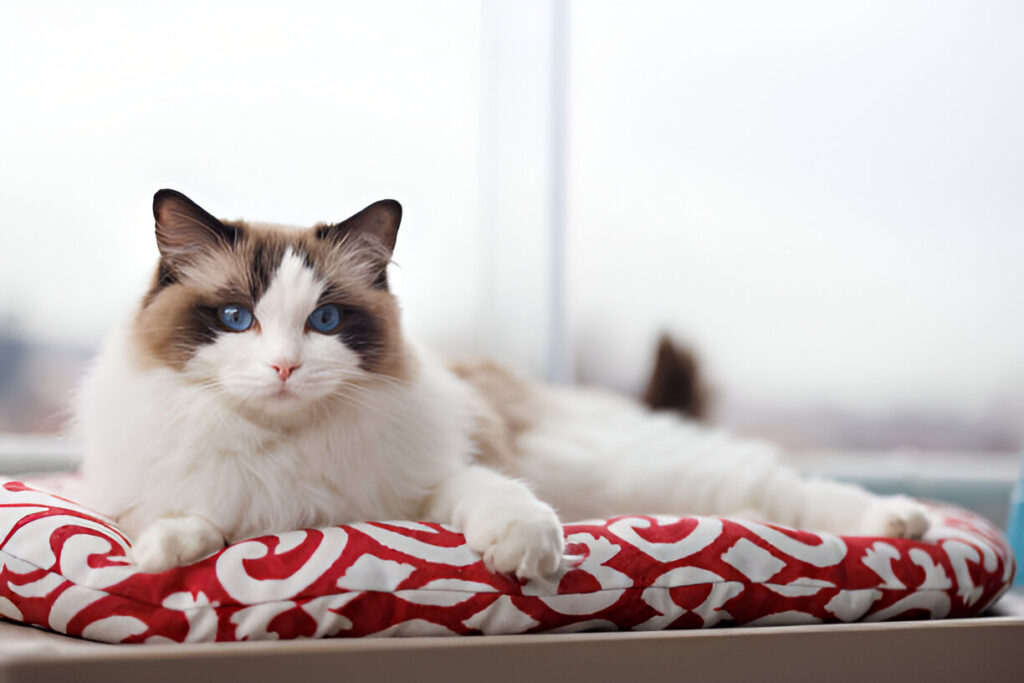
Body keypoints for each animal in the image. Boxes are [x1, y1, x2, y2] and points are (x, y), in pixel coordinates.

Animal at [75, 189, 933, 581]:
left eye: (324, 320)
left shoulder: (427, 483)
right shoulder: (189, 494)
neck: (284, 449)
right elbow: (189, 523)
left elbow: (491, 495)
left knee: (794, 490)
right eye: (236, 317)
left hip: (649, 470)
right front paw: (159, 554)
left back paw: (905, 522)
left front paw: (528, 552)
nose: (285, 367)